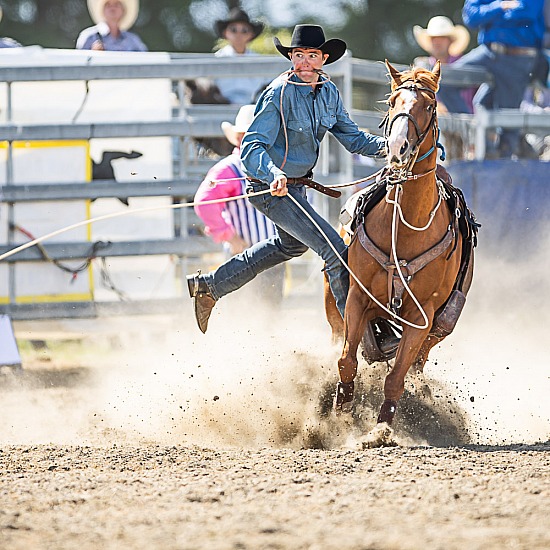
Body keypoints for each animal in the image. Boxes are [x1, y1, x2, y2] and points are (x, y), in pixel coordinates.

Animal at [332, 61, 478, 448]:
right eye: (392, 102)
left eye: (428, 105)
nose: (398, 146)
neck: (405, 226)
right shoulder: (356, 299)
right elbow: (347, 361)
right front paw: (340, 416)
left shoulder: (421, 316)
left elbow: (396, 376)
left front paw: (380, 428)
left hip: (438, 329)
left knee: (413, 365)